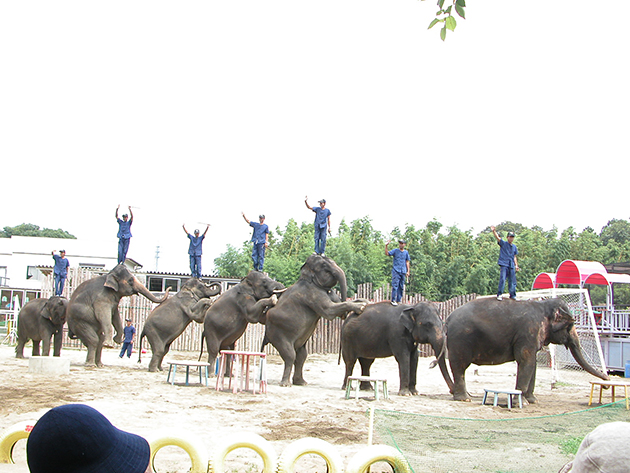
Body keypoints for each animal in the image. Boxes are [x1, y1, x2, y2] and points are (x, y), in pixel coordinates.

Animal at [262, 254, 370, 384]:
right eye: (325, 266)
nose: (345, 316)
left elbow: (337, 303)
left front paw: (365, 301)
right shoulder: (312, 293)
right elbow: (329, 310)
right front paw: (361, 307)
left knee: (302, 355)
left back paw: (301, 383)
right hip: (277, 333)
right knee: (290, 355)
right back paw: (286, 384)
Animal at [446, 298, 608, 402]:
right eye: (570, 326)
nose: (607, 383)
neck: (543, 305)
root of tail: (448, 318)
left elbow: (532, 364)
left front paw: (532, 400)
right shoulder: (528, 333)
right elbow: (526, 361)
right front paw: (520, 402)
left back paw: (466, 396)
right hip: (460, 341)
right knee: (459, 367)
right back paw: (464, 399)